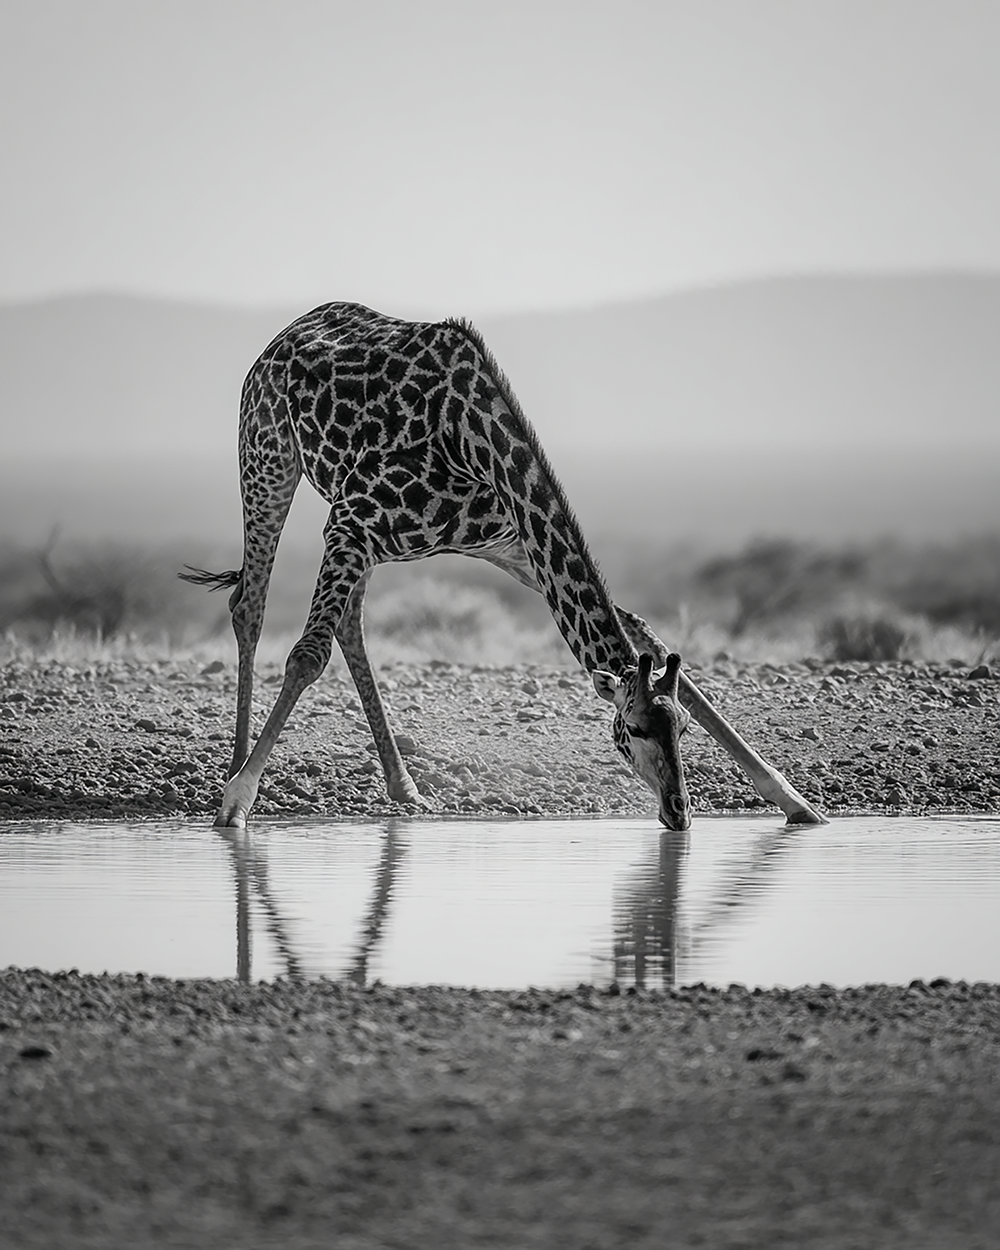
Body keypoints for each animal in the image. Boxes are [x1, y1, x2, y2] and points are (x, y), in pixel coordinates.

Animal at [182, 302, 825, 831]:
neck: (472, 447)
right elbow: (304, 656)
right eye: (636, 729)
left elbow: (651, 638)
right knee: (251, 603)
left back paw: (404, 787)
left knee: (347, 621)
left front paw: (795, 802)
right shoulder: (351, 520)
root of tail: (283, 335)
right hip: (269, 460)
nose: (679, 813)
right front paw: (237, 801)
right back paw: (235, 768)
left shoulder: (511, 544)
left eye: (682, 731)